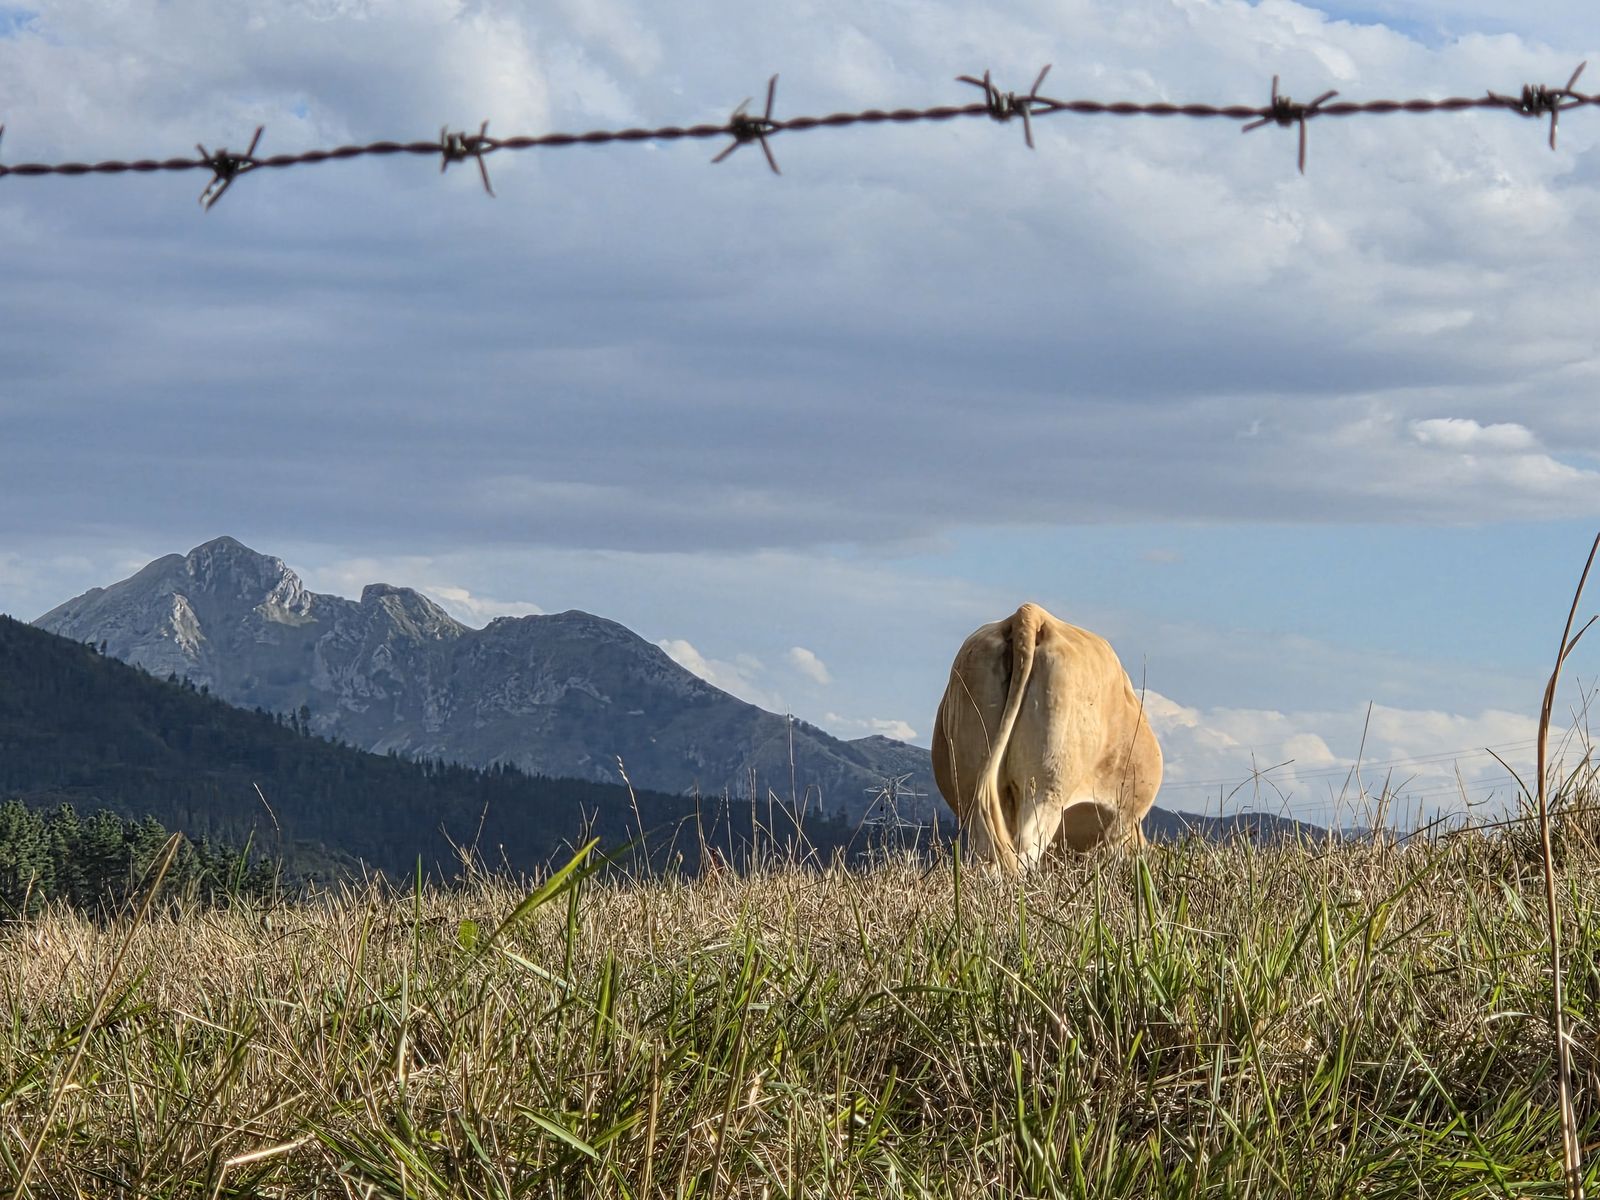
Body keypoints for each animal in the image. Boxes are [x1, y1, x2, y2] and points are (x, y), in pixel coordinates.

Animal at [932, 602, 1161, 875]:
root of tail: (1031, 613)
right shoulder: (1118, 826)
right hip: (1048, 787)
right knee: (1024, 851)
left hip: (971, 781)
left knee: (990, 853)